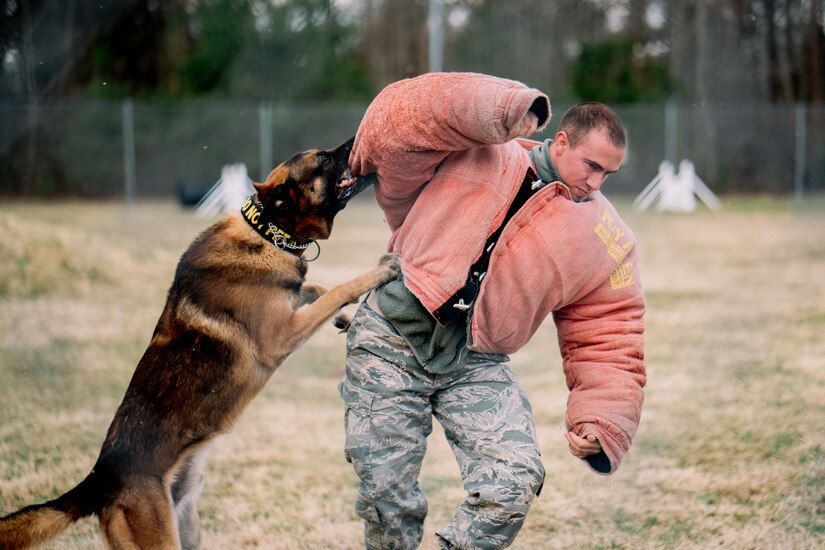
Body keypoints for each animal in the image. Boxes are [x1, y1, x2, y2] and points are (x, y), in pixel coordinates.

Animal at [0, 139, 400, 550]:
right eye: (322, 158)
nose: (356, 141)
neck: (267, 233)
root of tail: (100, 479)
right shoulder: (280, 335)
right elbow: (335, 289)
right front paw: (376, 272)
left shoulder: (289, 306)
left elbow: (316, 289)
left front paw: (344, 318)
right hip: (161, 539)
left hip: (187, 528)